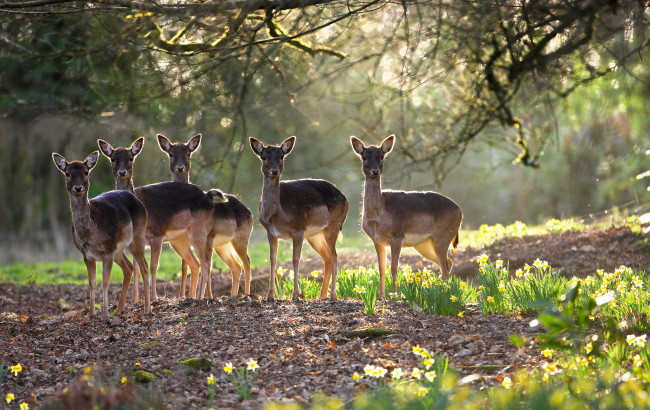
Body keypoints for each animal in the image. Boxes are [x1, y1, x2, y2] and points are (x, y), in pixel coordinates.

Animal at [51, 152, 150, 316]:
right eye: (67, 173)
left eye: (86, 172)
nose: (78, 187)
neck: (89, 235)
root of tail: (139, 201)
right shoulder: (86, 255)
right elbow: (92, 283)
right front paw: (92, 314)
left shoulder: (108, 251)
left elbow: (105, 282)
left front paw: (105, 314)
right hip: (119, 249)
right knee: (128, 267)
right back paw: (119, 310)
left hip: (137, 236)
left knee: (144, 267)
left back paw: (147, 309)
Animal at [99, 136, 253, 300]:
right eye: (113, 158)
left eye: (131, 158)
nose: (122, 172)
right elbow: (137, 268)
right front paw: (136, 300)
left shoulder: (157, 235)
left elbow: (153, 266)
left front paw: (154, 298)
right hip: (198, 242)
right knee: (216, 264)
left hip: (217, 236)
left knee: (214, 262)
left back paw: (207, 297)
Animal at [249, 136, 350, 300]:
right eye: (263, 157)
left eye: (281, 156)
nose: (274, 171)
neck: (277, 215)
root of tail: (345, 198)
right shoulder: (271, 232)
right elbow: (272, 260)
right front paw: (270, 296)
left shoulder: (298, 230)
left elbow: (295, 260)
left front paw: (295, 295)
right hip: (315, 235)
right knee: (327, 258)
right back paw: (321, 296)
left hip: (333, 226)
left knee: (335, 256)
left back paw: (333, 295)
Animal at [350, 135, 460, 298]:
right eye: (364, 157)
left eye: (381, 156)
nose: (375, 171)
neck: (378, 216)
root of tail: (460, 211)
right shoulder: (377, 240)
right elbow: (381, 269)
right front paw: (382, 296)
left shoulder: (397, 235)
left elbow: (394, 267)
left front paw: (395, 294)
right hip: (423, 244)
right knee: (447, 263)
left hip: (443, 236)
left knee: (445, 267)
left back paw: (443, 295)